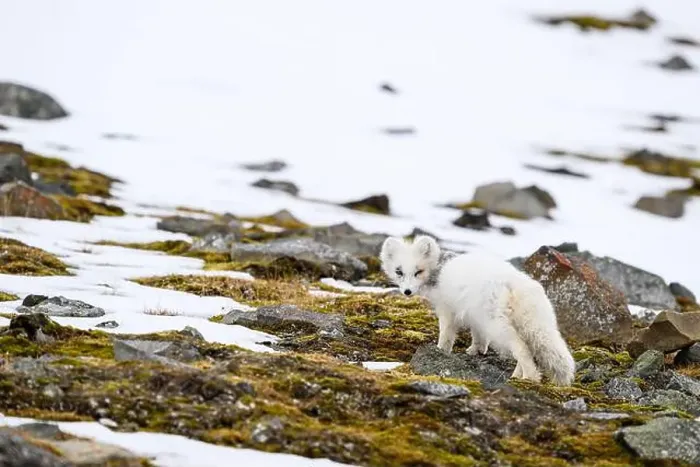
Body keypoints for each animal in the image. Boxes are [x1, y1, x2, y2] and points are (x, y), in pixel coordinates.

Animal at [379, 234, 575, 386]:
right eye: (399, 271)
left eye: (418, 271)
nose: (407, 292)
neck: (437, 268)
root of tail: (513, 282)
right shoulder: (473, 314)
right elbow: (479, 336)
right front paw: (476, 350)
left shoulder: (447, 309)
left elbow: (447, 335)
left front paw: (441, 350)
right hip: (526, 323)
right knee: (528, 348)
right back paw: (517, 376)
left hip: (497, 325)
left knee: (522, 349)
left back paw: (529, 378)